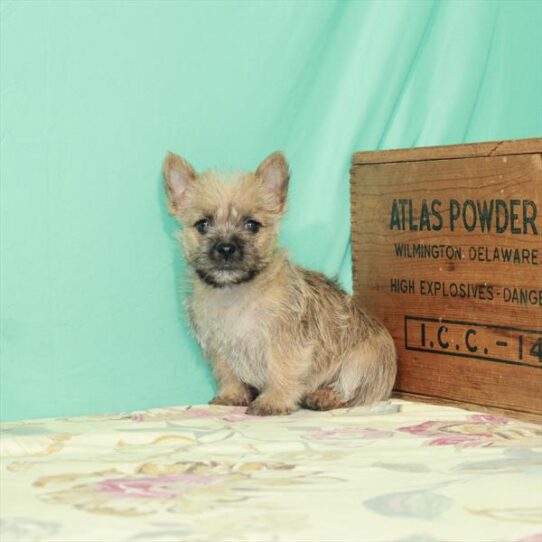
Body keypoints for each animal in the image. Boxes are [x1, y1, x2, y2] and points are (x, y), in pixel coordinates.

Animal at [164, 152, 398, 416]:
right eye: (202, 224)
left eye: (252, 225)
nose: (226, 248)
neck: (235, 293)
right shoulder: (219, 347)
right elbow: (228, 374)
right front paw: (232, 395)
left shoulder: (285, 342)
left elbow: (281, 371)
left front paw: (273, 401)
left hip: (363, 360)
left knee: (351, 390)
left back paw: (324, 396)